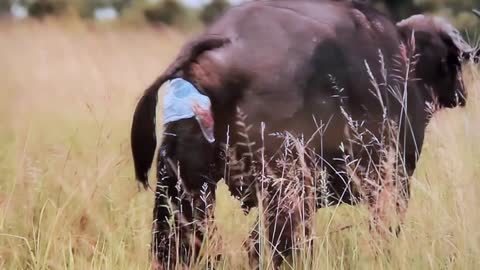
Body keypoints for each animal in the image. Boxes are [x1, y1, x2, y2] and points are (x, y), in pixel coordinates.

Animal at [129, 0, 478, 268]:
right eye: (455, 64)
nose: (462, 92)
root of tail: (218, 49)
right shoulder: (394, 181)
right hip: (289, 189)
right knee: (278, 249)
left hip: (180, 189)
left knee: (180, 247)